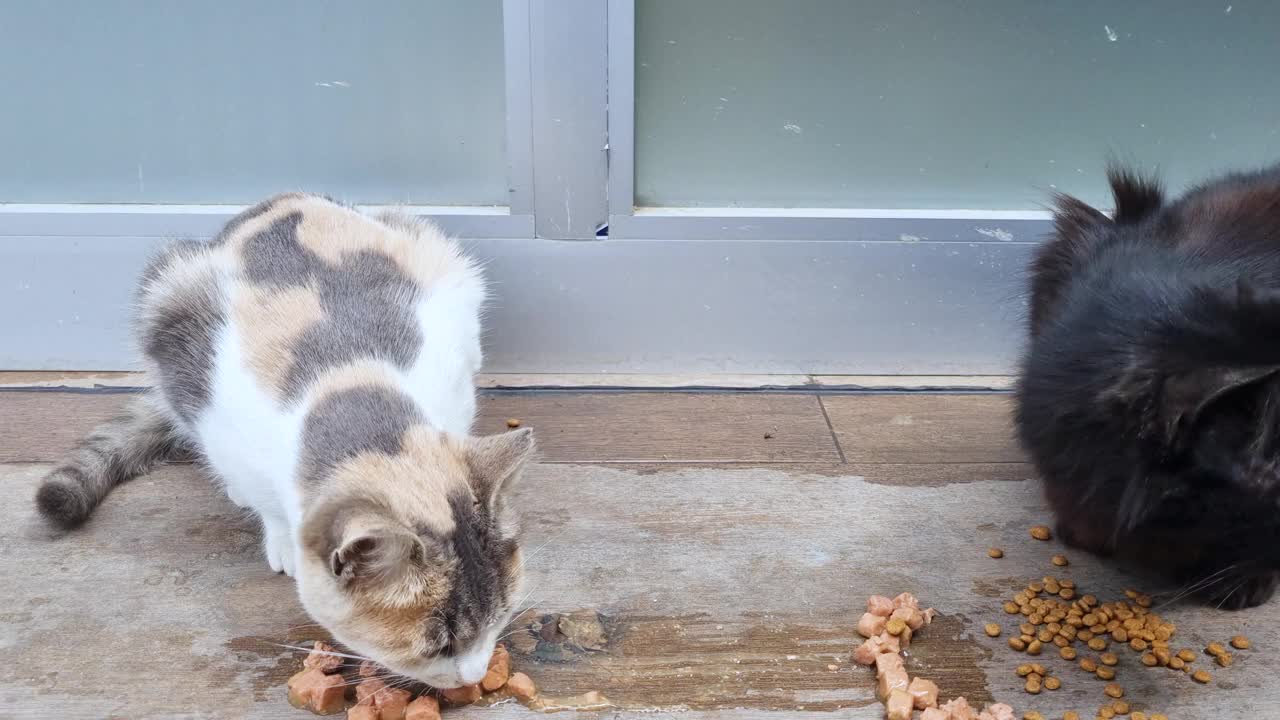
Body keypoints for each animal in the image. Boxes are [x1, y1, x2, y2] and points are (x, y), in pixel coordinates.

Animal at [37, 190, 532, 681]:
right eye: (438, 646)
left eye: (500, 616)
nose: (476, 675)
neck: (348, 379)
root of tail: (284, 199)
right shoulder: (223, 429)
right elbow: (268, 504)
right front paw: (281, 540)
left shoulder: (457, 384)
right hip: (166, 302)